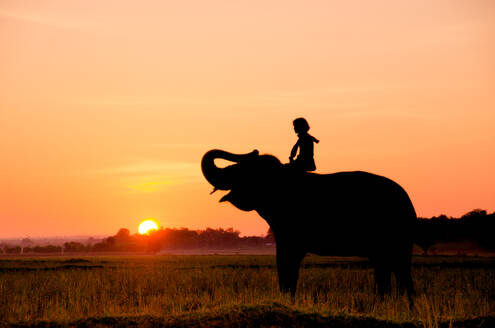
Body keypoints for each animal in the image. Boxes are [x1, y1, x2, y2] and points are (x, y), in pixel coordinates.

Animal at [202, 149, 418, 298]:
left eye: (244, 170)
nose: (253, 150)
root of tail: (408, 200)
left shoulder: (292, 225)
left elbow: (287, 259)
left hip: (398, 230)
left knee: (400, 269)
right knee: (385, 267)